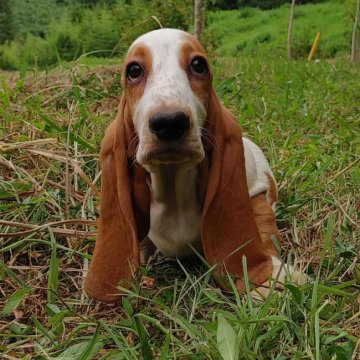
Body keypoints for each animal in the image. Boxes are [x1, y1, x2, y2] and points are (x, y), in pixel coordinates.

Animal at [84, 28, 304, 304]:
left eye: (198, 65)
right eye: (133, 70)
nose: (169, 122)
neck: (172, 185)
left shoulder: (255, 194)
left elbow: (261, 230)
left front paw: (268, 278)